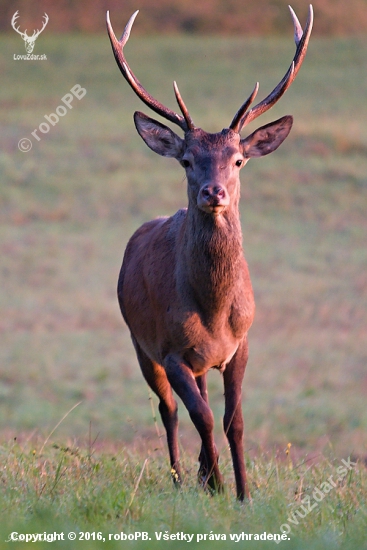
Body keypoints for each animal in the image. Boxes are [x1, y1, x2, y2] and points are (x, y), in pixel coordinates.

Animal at [106, 5, 314, 504]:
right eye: (186, 160)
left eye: (238, 159)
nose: (212, 191)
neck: (215, 311)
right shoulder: (169, 348)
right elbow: (199, 415)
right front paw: (216, 482)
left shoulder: (241, 345)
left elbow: (232, 421)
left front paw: (241, 493)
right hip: (140, 343)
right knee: (169, 411)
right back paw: (184, 477)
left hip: (194, 357)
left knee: (196, 399)